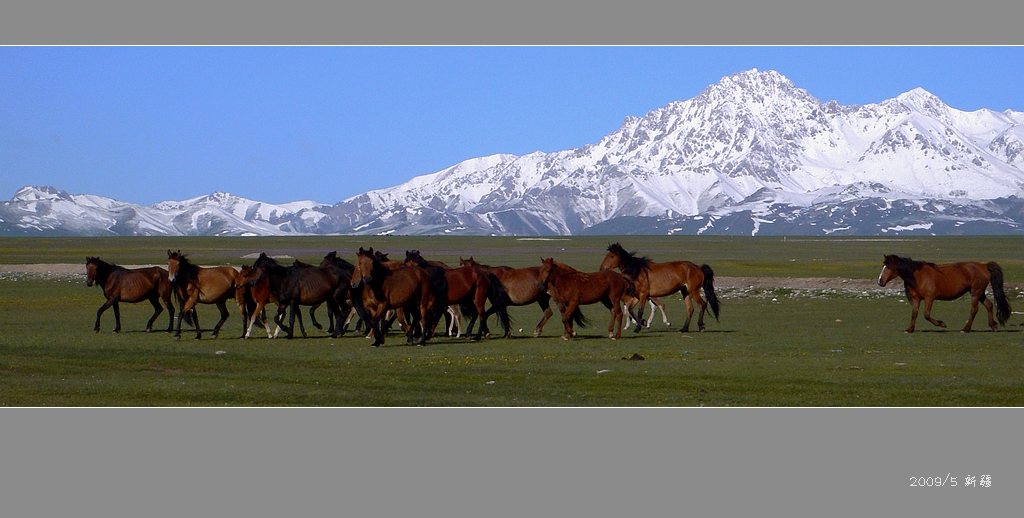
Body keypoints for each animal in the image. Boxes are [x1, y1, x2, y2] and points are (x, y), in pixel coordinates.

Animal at [876, 253, 1011, 333]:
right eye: (883, 266)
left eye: (889, 267)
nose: (880, 281)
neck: (918, 276)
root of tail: (984, 266)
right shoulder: (916, 298)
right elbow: (914, 313)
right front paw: (909, 329)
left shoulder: (929, 298)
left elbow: (926, 315)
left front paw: (941, 324)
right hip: (980, 292)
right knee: (989, 305)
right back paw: (993, 326)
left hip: (976, 292)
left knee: (974, 310)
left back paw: (966, 329)